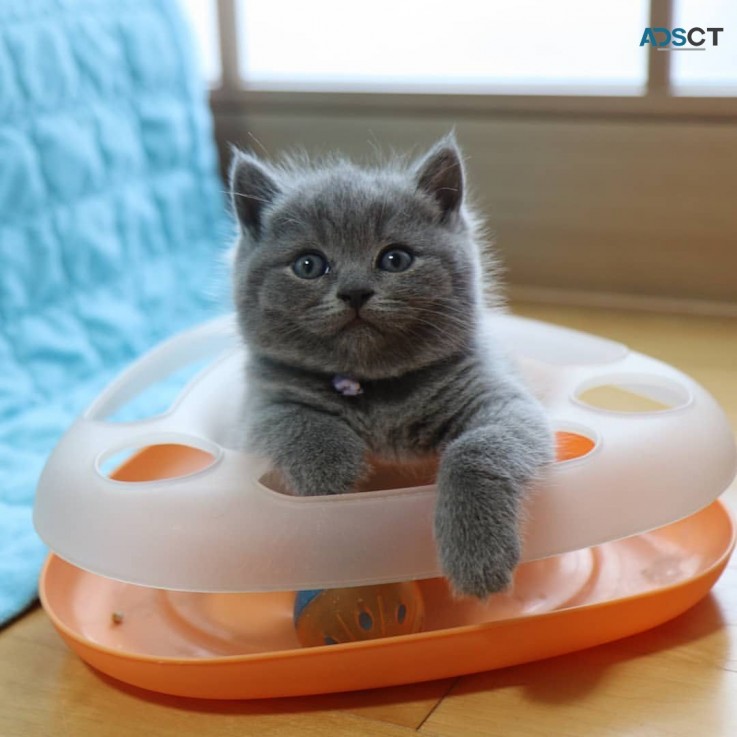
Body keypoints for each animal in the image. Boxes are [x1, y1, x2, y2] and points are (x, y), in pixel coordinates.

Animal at [230, 137, 552, 600]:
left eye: (395, 259)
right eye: (309, 264)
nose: (354, 291)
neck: (373, 391)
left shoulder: (502, 397)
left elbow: (475, 450)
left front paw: (476, 556)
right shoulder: (256, 406)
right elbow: (287, 417)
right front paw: (331, 468)